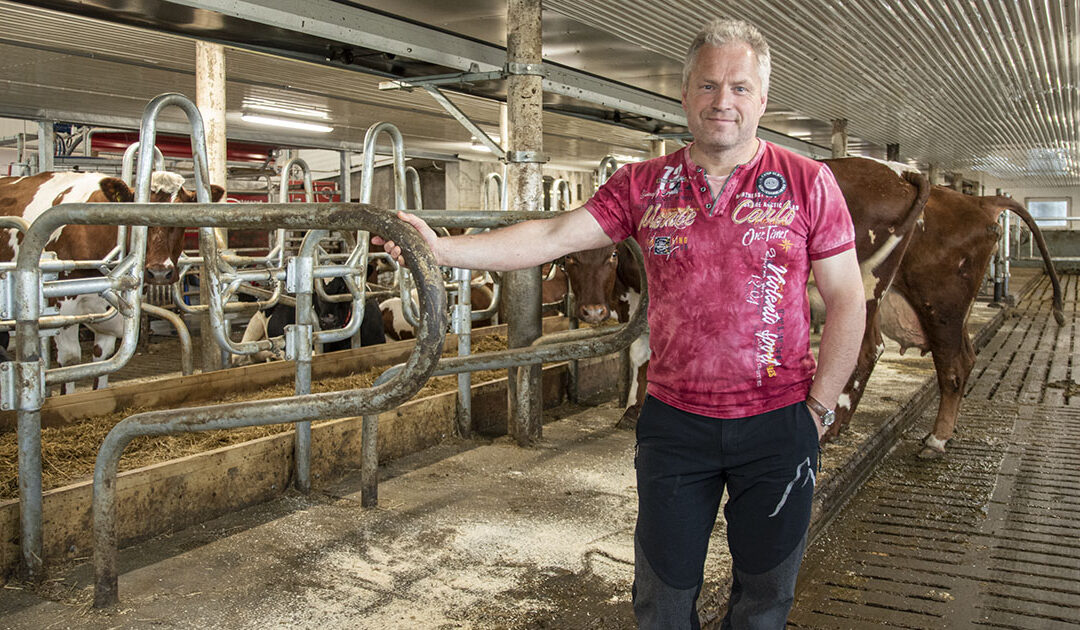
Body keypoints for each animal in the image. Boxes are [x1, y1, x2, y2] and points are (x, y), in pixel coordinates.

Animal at [0, 170, 226, 392]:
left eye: (180, 220)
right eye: (135, 216)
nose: (159, 272)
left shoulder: (111, 317)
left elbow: (103, 363)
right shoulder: (62, 308)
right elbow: (71, 363)